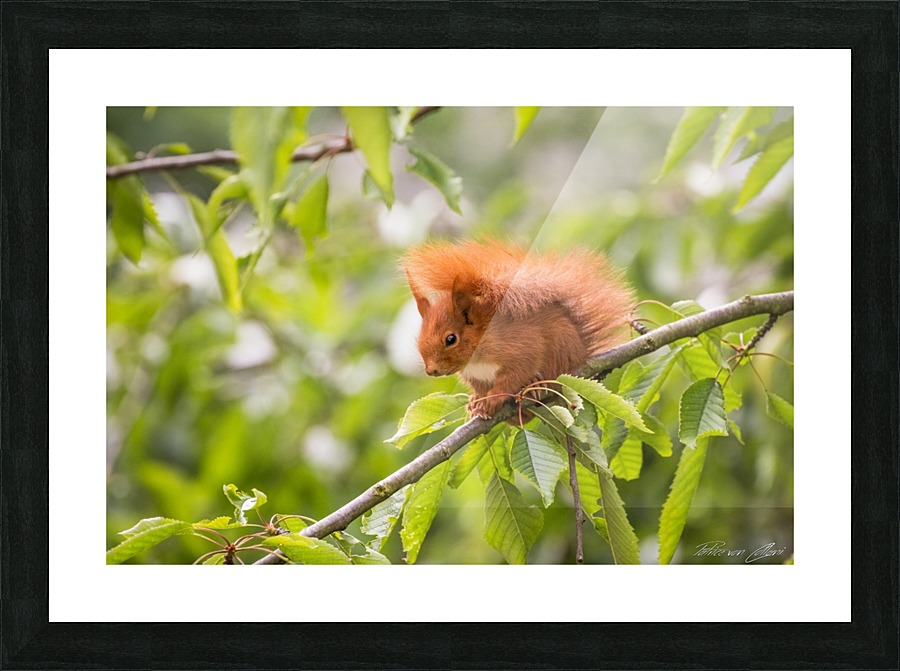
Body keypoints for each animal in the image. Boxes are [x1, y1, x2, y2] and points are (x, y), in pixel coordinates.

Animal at [402, 239, 634, 419]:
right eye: (419, 336)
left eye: (451, 339)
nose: (431, 370)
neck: (476, 358)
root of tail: (583, 351)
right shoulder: (475, 376)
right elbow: (481, 389)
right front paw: (477, 402)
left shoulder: (520, 347)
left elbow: (515, 373)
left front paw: (493, 397)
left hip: (561, 348)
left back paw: (535, 385)